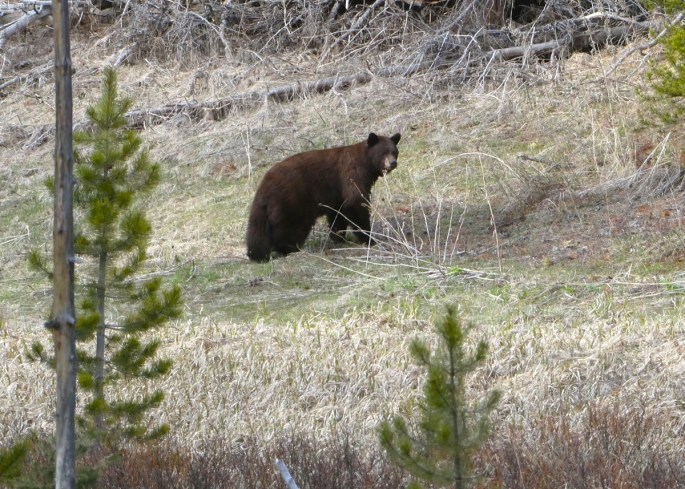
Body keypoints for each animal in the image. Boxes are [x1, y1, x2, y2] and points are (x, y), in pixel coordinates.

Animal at [246, 132, 401, 262]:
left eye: (395, 152)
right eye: (384, 152)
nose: (393, 163)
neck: (366, 161)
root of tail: (264, 187)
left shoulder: (336, 196)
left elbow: (338, 213)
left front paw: (338, 236)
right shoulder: (352, 173)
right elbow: (355, 202)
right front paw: (368, 238)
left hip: (262, 211)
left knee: (257, 231)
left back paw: (257, 254)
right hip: (292, 201)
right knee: (291, 227)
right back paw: (287, 248)